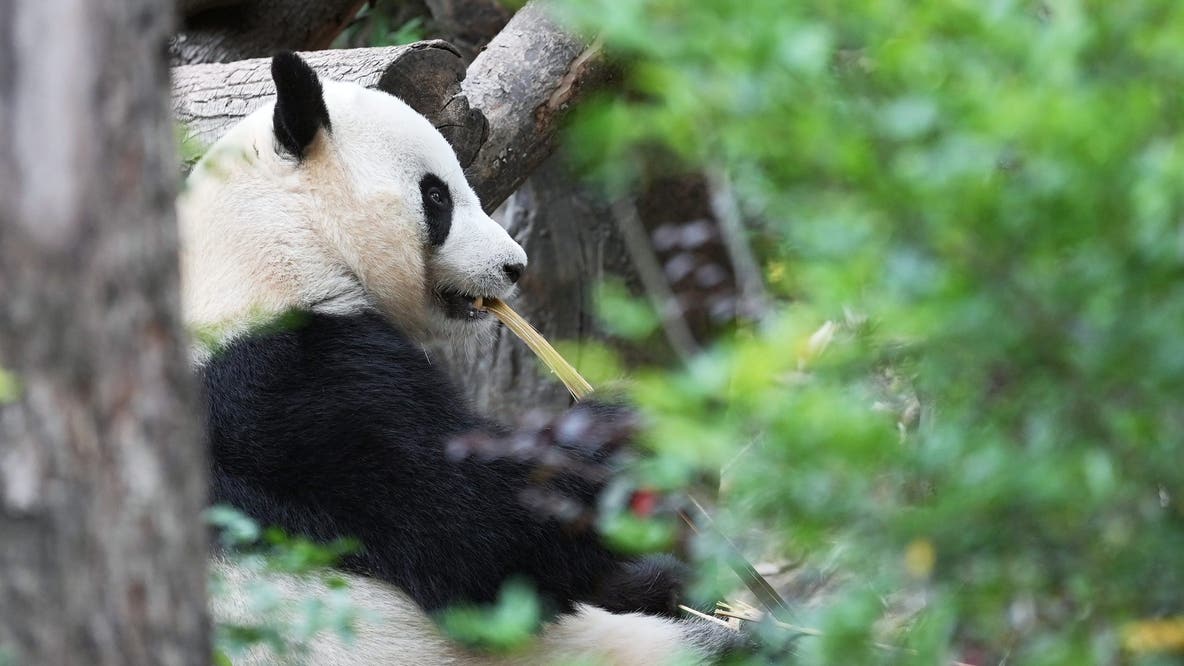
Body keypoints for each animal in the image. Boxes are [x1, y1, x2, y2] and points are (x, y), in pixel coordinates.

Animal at [180, 51, 743, 664]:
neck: (271, 241)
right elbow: (478, 537)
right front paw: (621, 426)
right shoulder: (290, 394)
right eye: (437, 197)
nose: (514, 266)